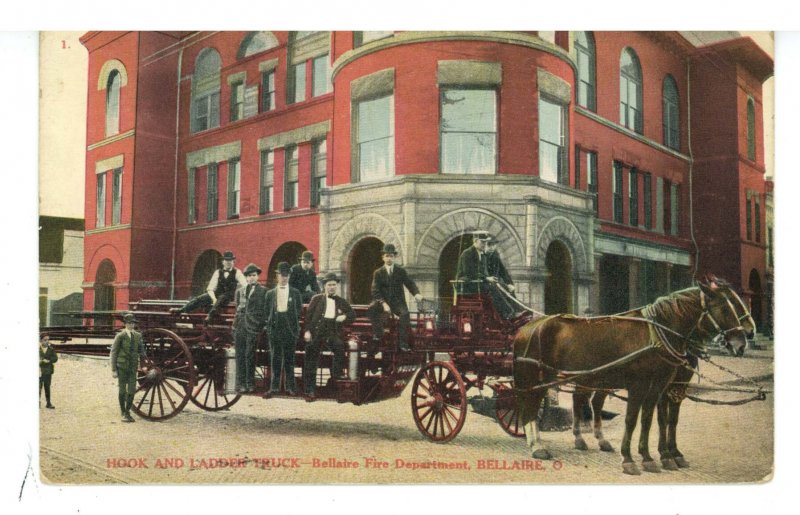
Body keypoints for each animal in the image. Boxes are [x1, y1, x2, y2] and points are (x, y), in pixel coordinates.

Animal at [516, 278, 752, 476]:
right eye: (725, 307)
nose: (743, 341)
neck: (657, 336)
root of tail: (528, 326)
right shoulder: (639, 386)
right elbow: (633, 420)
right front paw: (630, 458)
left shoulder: (661, 387)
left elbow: (651, 419)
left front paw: (653, 457)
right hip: (539, 377)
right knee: (531, 406)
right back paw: (537, 445)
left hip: (583, 377)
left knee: (580, 401)